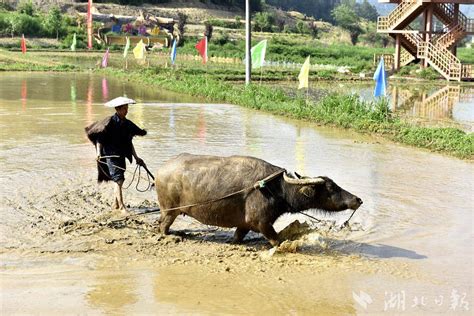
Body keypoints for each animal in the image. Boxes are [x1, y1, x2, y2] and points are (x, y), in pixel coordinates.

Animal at [154, 154, 362, 246]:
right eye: (331, 188)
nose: (358, 199)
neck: (277, 189)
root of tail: (161, 170)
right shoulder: (261, 222)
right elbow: (277, 240)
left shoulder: (244, 224)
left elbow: (238, 236)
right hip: (169, 210)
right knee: (163, 226)